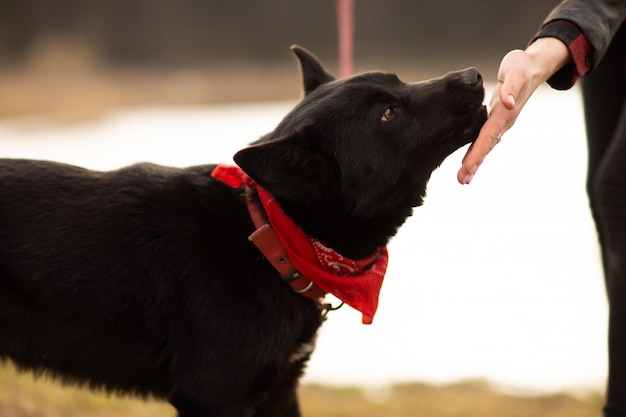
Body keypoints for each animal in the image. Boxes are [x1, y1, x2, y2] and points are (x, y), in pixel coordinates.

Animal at [0, 46, 486, 416]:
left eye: (400, 82)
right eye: (389, 114)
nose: (475, 74)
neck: (271, 236)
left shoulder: (280, 392)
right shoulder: (215, 395)